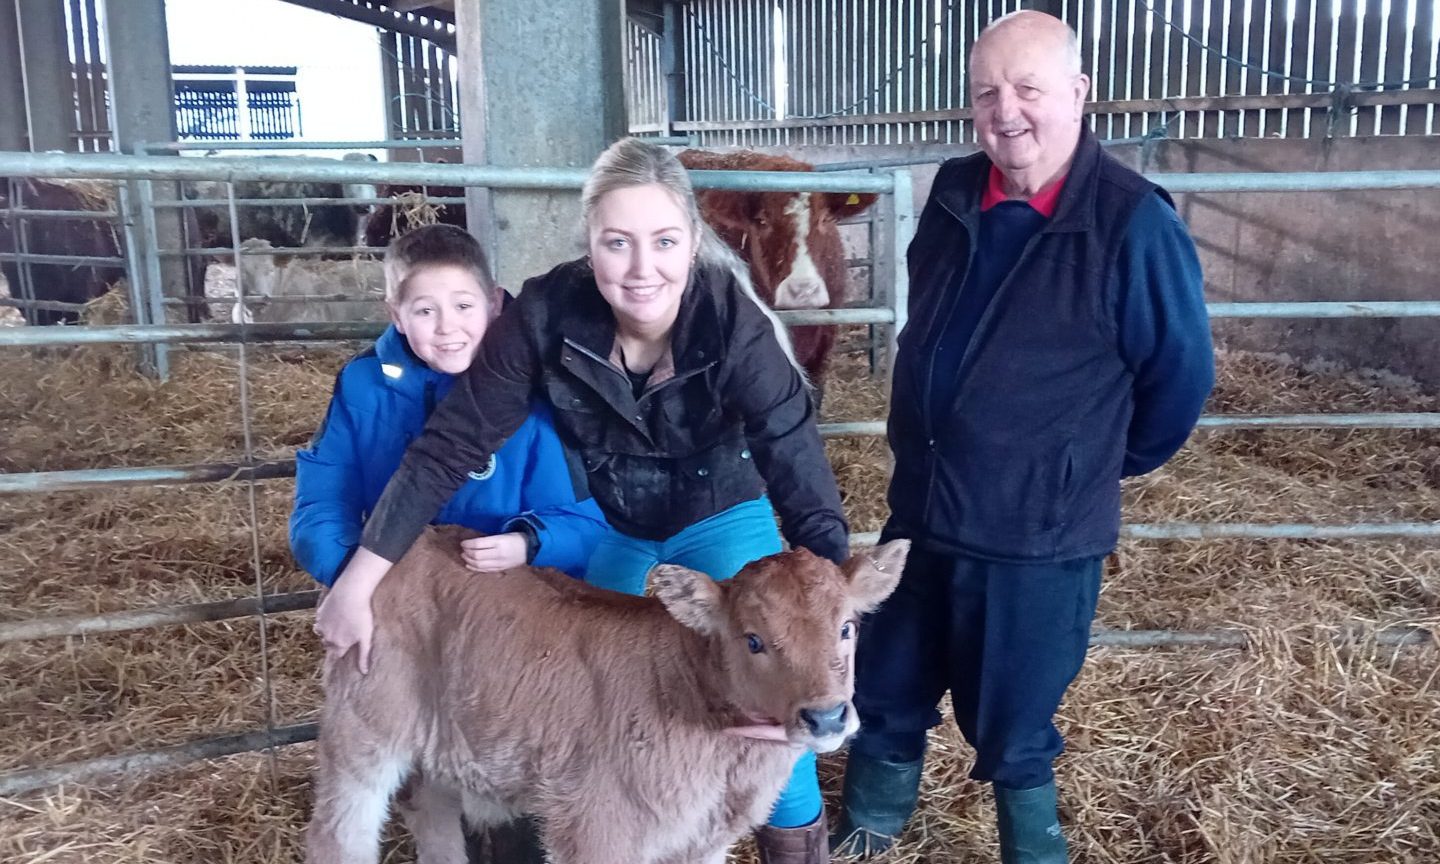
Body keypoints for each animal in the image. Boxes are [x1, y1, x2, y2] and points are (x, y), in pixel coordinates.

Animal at [308, 527, 904, 864]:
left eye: (847, 627)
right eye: (752, 639)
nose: (826, 716)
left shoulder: (702, 841)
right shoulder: (595, 828)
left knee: (432, 816)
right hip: (363, 726)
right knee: (337, 835)